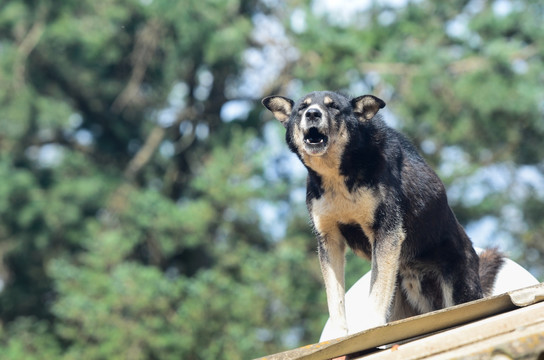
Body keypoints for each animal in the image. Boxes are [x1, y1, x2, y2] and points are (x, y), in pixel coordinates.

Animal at [262, 91, 504, 338]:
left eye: (334, 107)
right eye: (302, 108)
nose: (312, 114)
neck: (339, 174)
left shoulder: (386, 231)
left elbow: (375, 290)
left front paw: (371, 324)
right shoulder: (329, 240)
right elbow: (334, 296)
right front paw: (339, 334)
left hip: (458, 290)